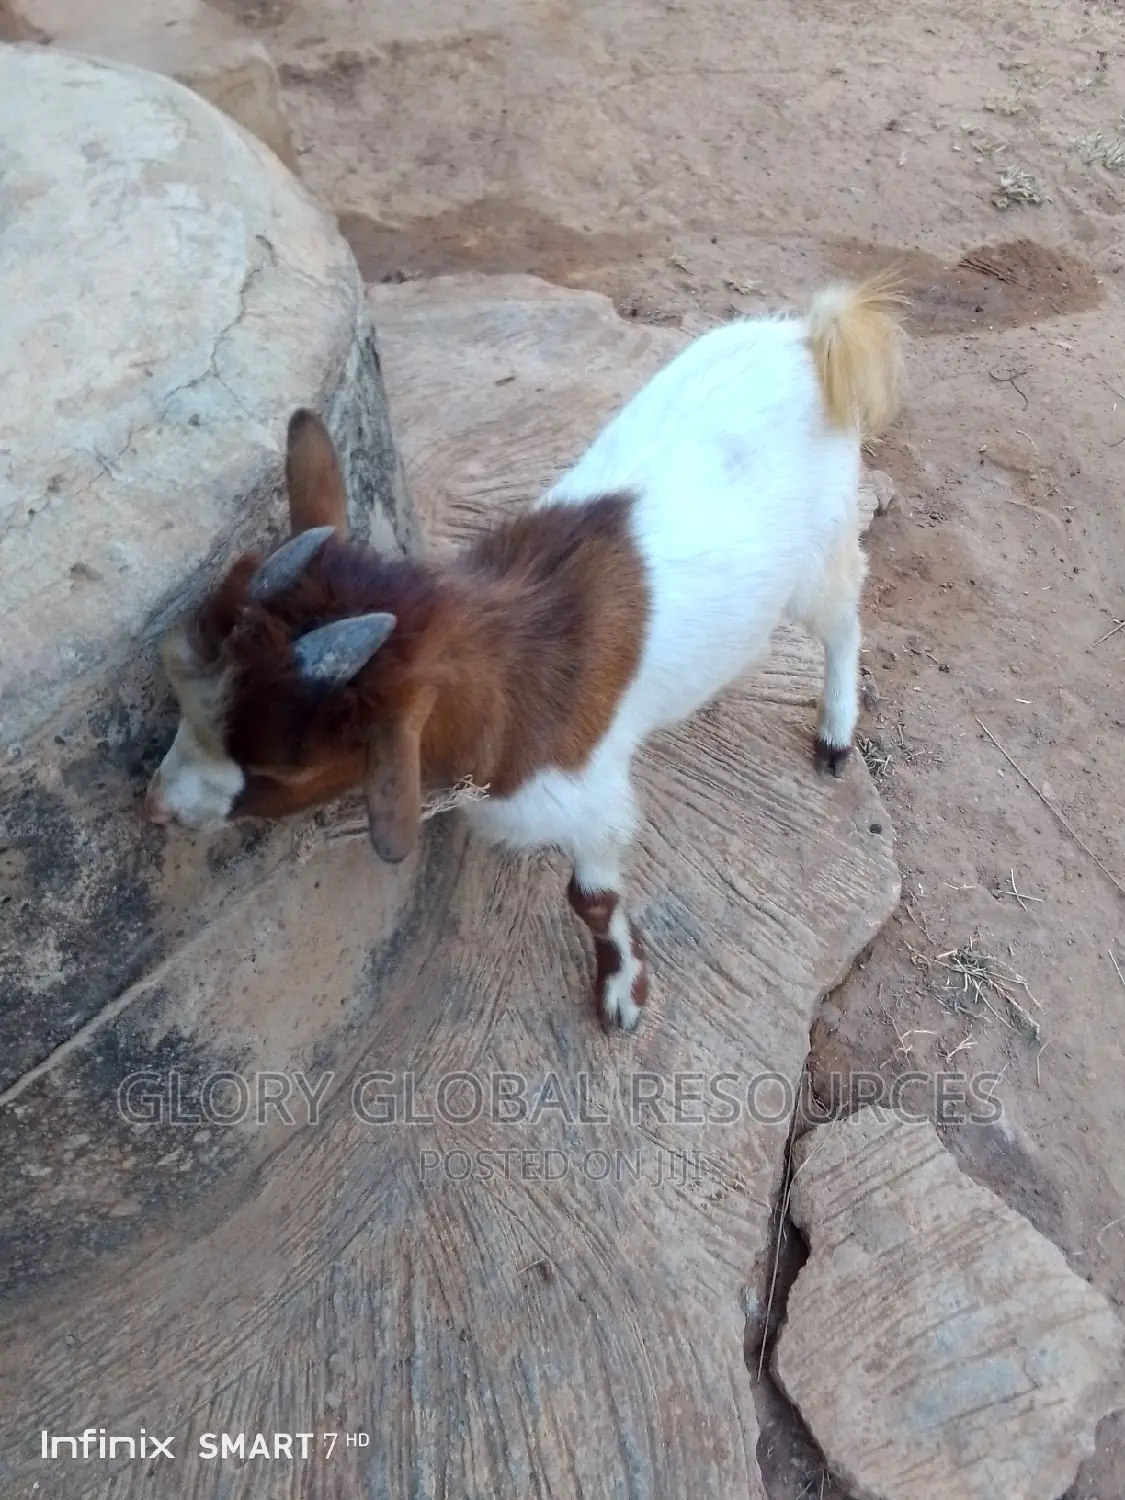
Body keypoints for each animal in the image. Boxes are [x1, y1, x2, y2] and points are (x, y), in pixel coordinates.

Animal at [146, 276, 904, 1031]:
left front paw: (622, 993)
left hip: (821, 549)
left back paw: (835, 732)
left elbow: (590, 900)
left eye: (279, 768)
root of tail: (808, 338)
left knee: (843, 615)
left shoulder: (588, 798)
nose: (157, 809)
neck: (508, 669)